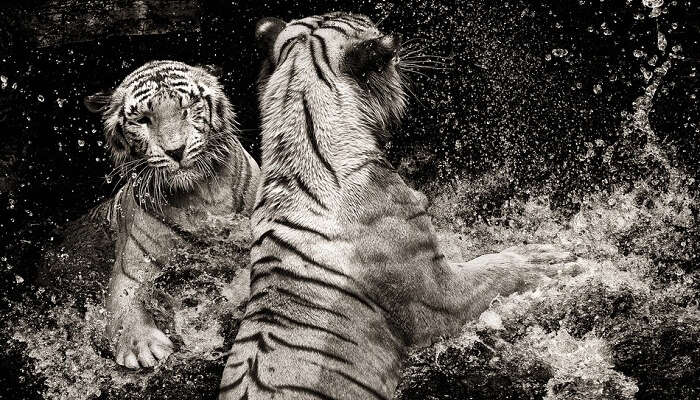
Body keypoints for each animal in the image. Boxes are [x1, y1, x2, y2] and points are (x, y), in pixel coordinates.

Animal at [84, 61, 260, 370]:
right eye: (143, 120)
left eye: (187, 108)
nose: (175, 150)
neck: (201, 196)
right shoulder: (130, 270)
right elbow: (127, 306)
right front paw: (142, 346)